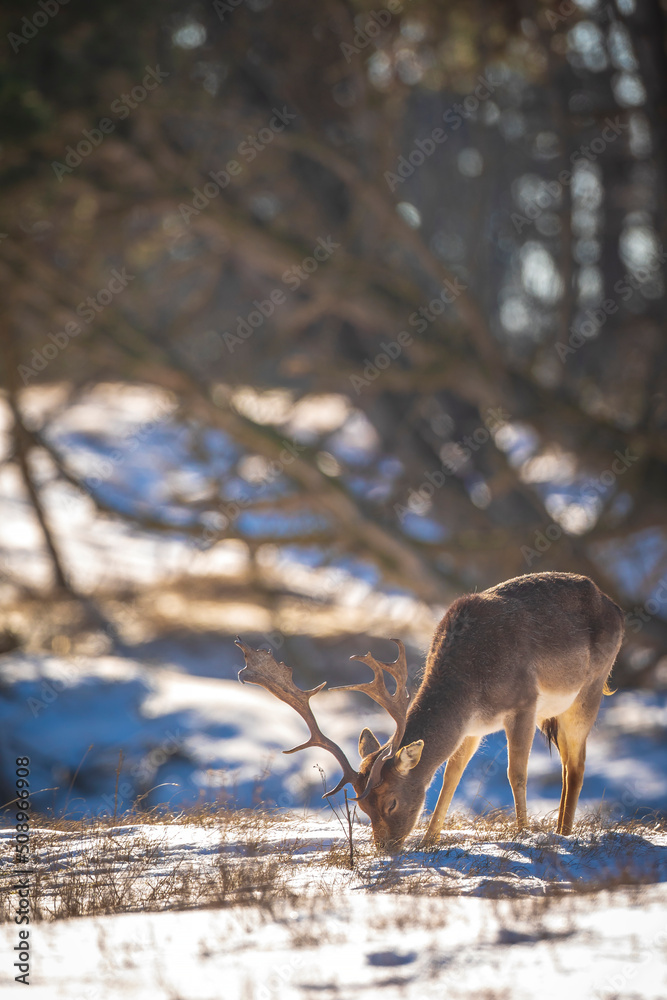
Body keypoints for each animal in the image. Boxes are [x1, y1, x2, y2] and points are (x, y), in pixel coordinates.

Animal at [236, 571, 624, 851]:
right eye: (363, 807)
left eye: (391, 802)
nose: (386, 847)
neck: (472, 683)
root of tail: (616, 608)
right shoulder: (471, 727)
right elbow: (450, 776)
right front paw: (429, 840)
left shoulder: (524, 703)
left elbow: (516, 773)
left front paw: (524, 834)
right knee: (569, 763)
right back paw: (561, 829)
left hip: (590, 688)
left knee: (575, 765)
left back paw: (564, 832)